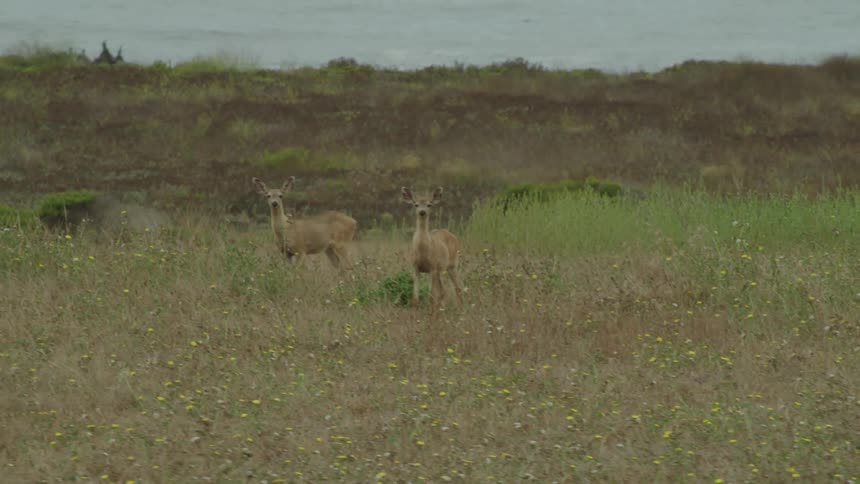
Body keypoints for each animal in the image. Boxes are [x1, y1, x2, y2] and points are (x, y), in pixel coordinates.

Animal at [401, 186, 463, 316]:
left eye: (429, 204)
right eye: (416, 204)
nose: (422, 211)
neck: (423, 251)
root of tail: (451, 234)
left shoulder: (432, 268)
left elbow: (431, 296)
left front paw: (431, 317)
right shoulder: (415, 267)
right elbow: (415, 298)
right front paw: (414, 317)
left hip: (452, 264)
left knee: (458, 287)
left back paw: (461, 312)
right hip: (440, 270)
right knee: (443, 291)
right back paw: (442, 310)